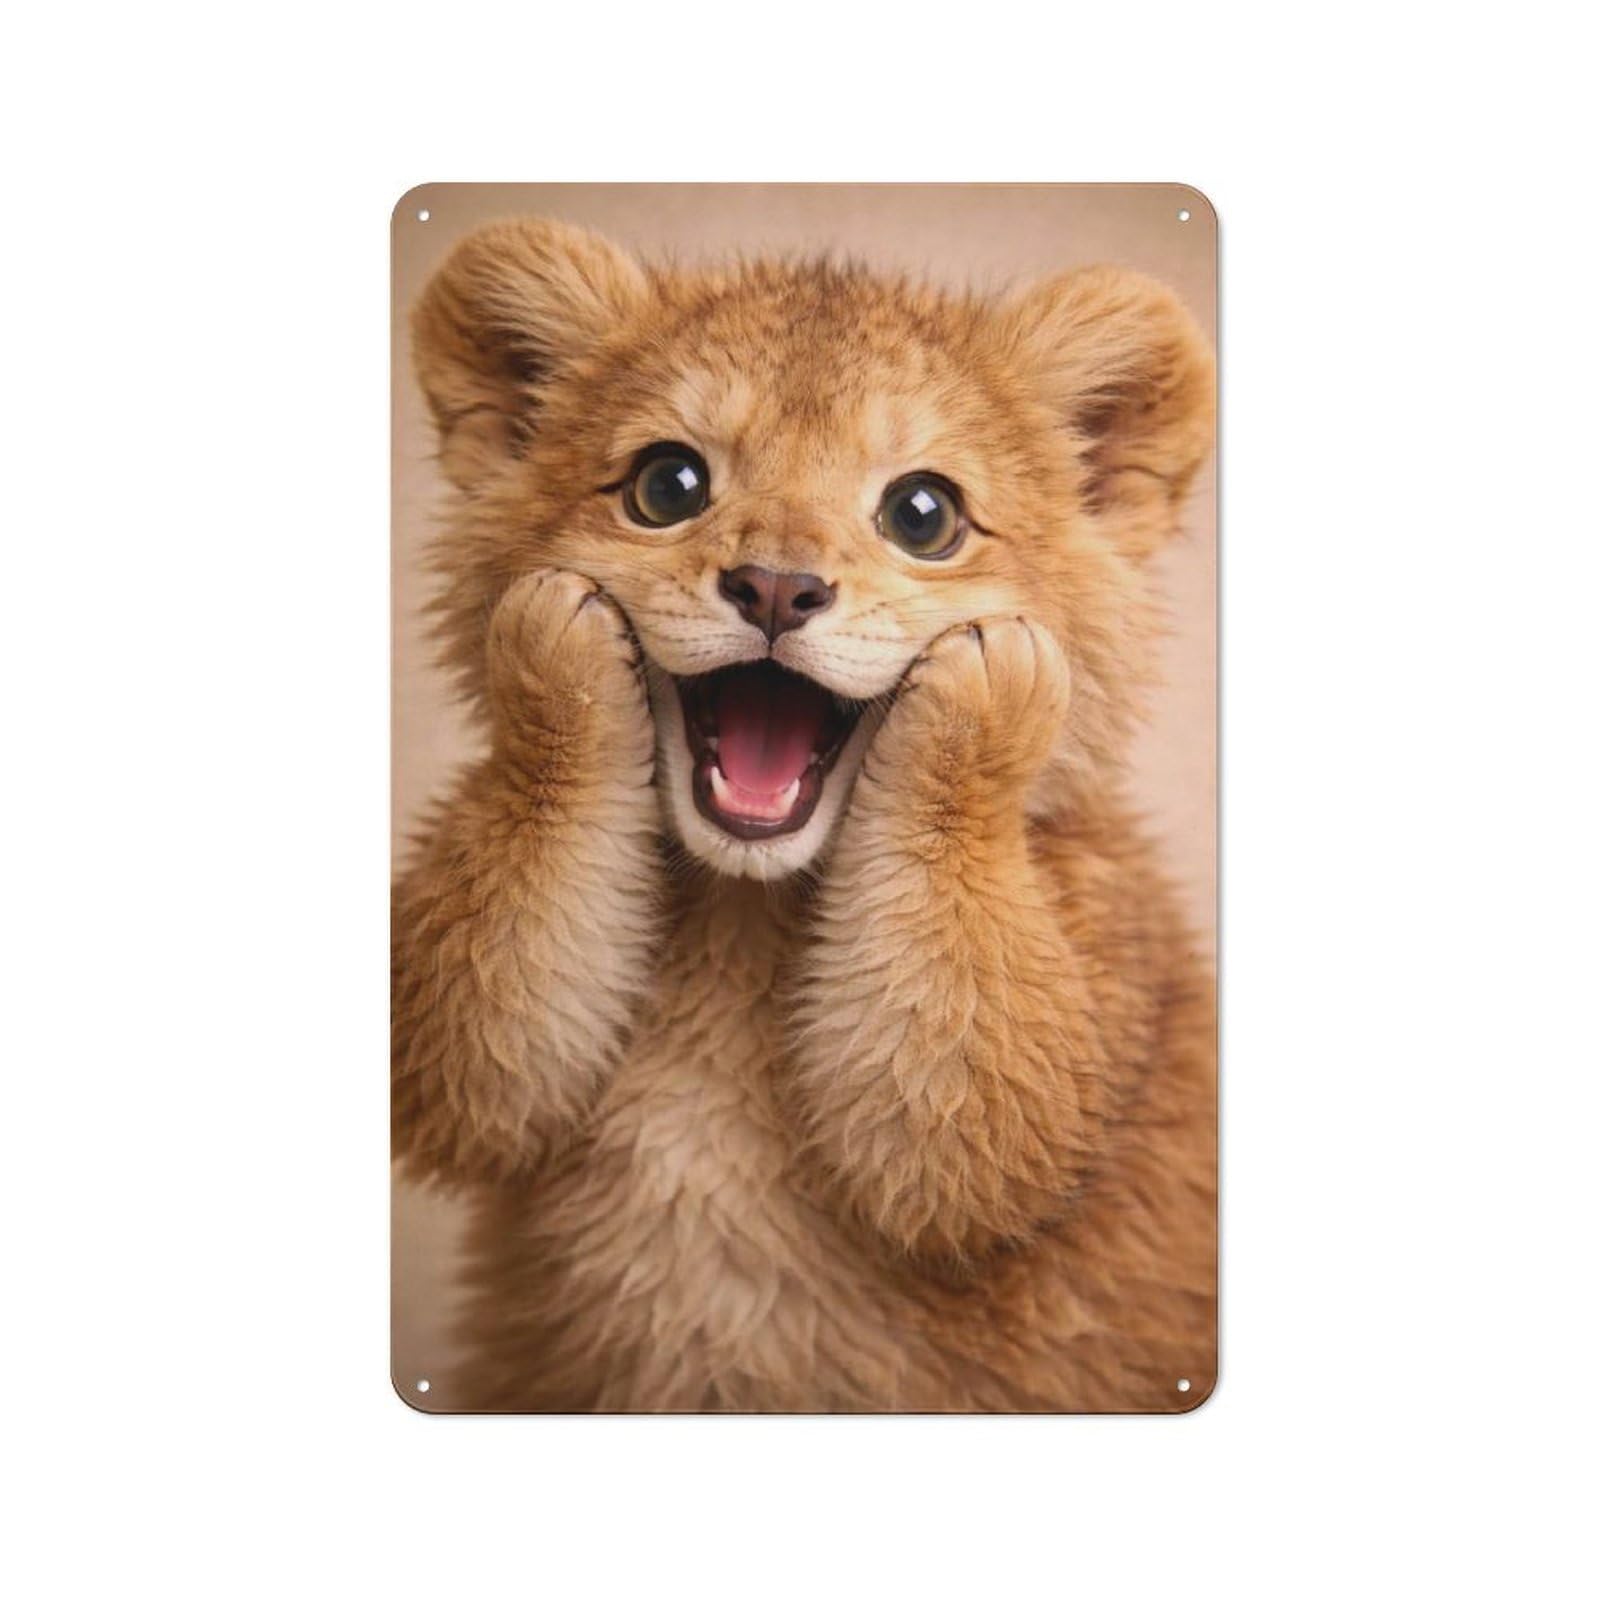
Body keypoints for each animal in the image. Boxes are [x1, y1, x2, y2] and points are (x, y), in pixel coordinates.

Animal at [393, 216, 1217, 1411]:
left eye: (923, 515)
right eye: (667, 484)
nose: (777, 588)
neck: (743, 929)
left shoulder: (1083, 1028)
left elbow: (965, 1100)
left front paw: (988, 690)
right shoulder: (474, 1064)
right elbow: (472, 1042)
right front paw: (554, 639)